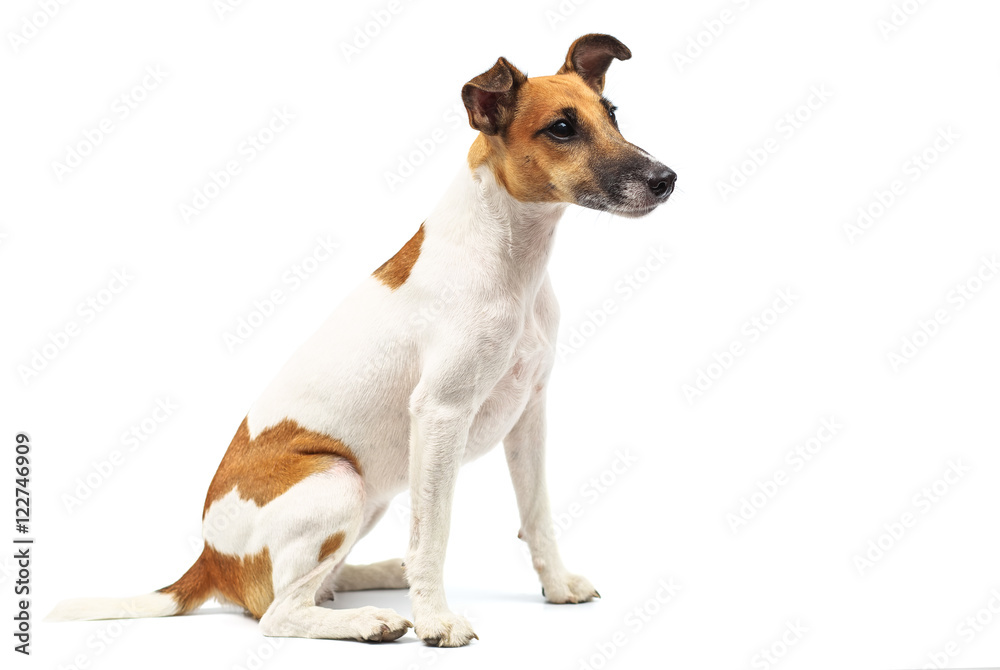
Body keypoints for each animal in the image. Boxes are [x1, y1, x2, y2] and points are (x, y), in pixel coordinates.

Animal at [47, 34, 672, 648]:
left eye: (612, 114)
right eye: (562, 128)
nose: (666, 179)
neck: (512, 263)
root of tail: (209, 562)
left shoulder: (529, 414)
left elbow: (537, 513)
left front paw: (557, 585)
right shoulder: (441, 415)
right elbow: (433, 534)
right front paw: (436, 620)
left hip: (369, 496)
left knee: (312, 586)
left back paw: (380, 576)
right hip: (338, 480)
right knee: (278, 612)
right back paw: (370, 619)